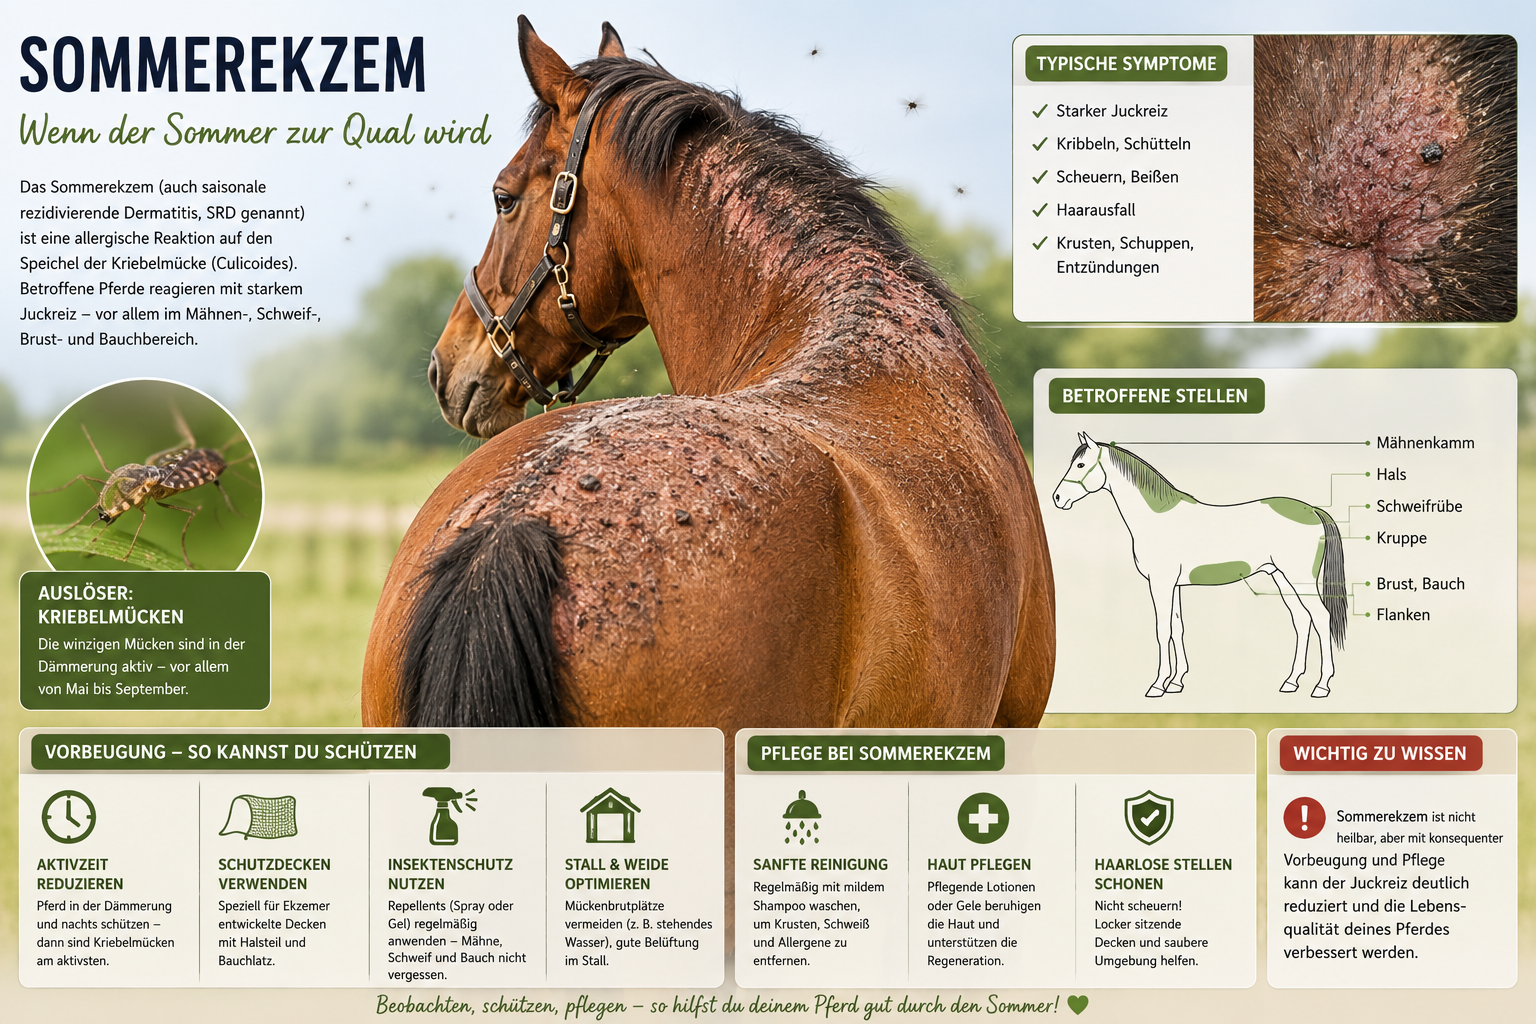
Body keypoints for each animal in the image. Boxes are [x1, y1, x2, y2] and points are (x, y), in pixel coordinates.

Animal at [1050, 433, 1345, 698]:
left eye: (1080, 465)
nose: (1057, 498)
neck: (1155, 518)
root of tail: (1312, 510)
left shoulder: (1161, 583)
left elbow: (1162, 629)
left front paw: (1157, 686)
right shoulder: (1174, 585)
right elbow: (1177, 628)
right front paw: (1175, 682)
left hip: (1298, 579)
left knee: (1321, 617)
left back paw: (1321, 686)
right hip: (1281, 578)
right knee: (1302, 619)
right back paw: (1291, 682)